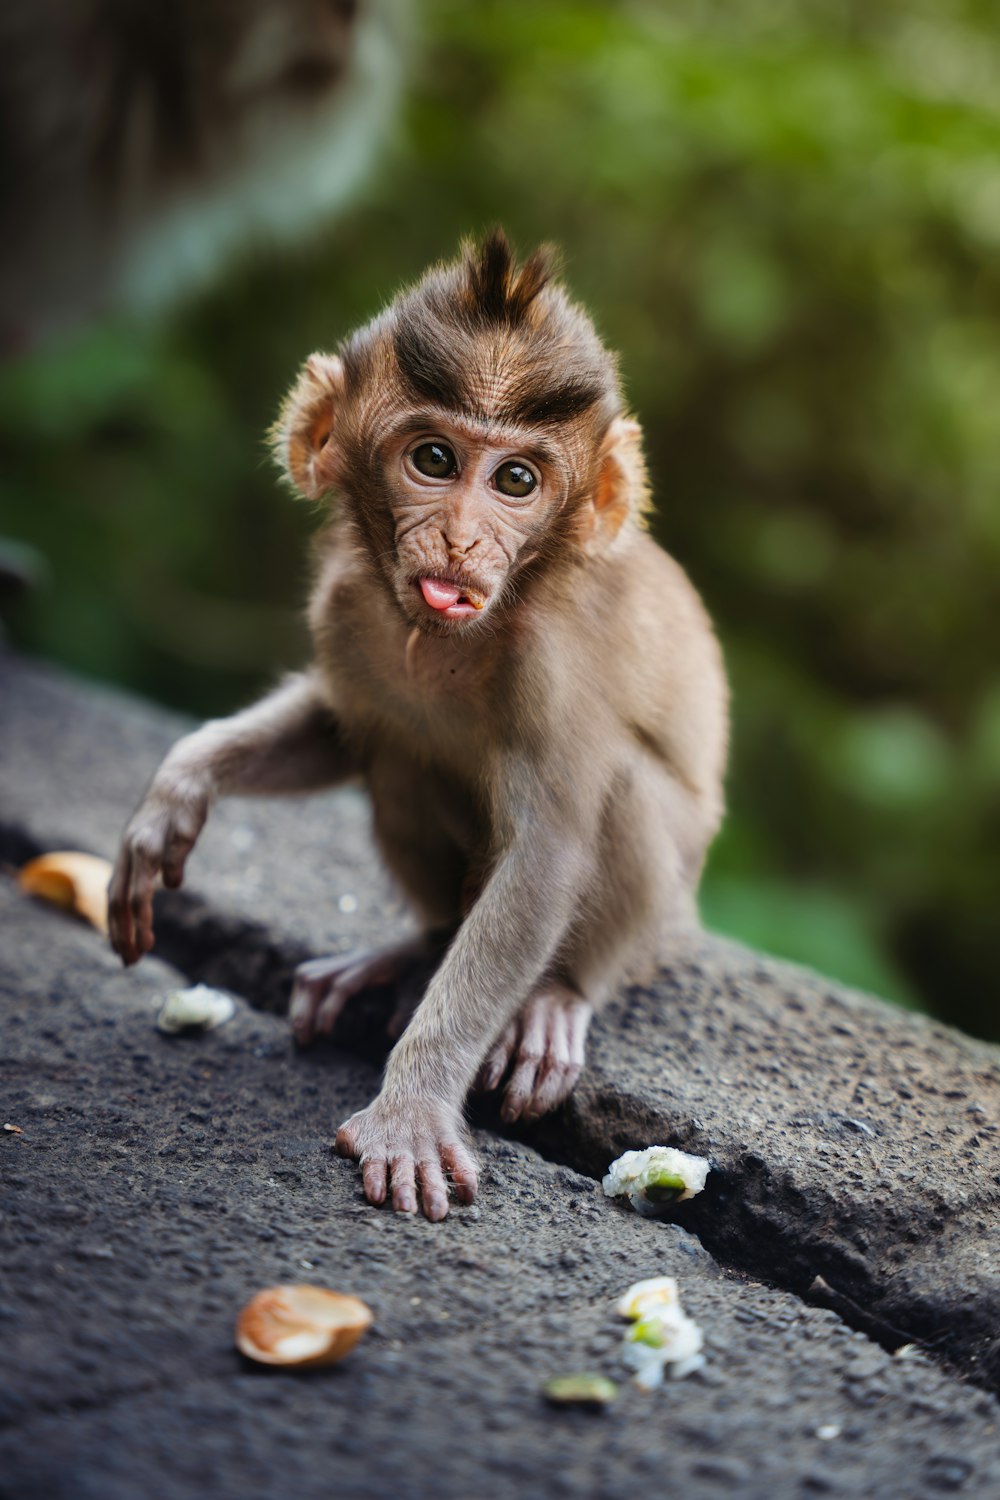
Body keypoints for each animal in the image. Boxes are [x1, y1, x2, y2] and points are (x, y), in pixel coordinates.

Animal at [107, 231, 728, 1218]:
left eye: (516, 480)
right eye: (433, 460)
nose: (462, 541)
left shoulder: (557, 661)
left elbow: (549, 854)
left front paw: (412, 1106)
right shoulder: (347, 607)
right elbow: (338, 728)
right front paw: (176, 790)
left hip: (667, 918)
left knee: (616, 801)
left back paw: (556, 997)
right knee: (398, 757)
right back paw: (409, 951)